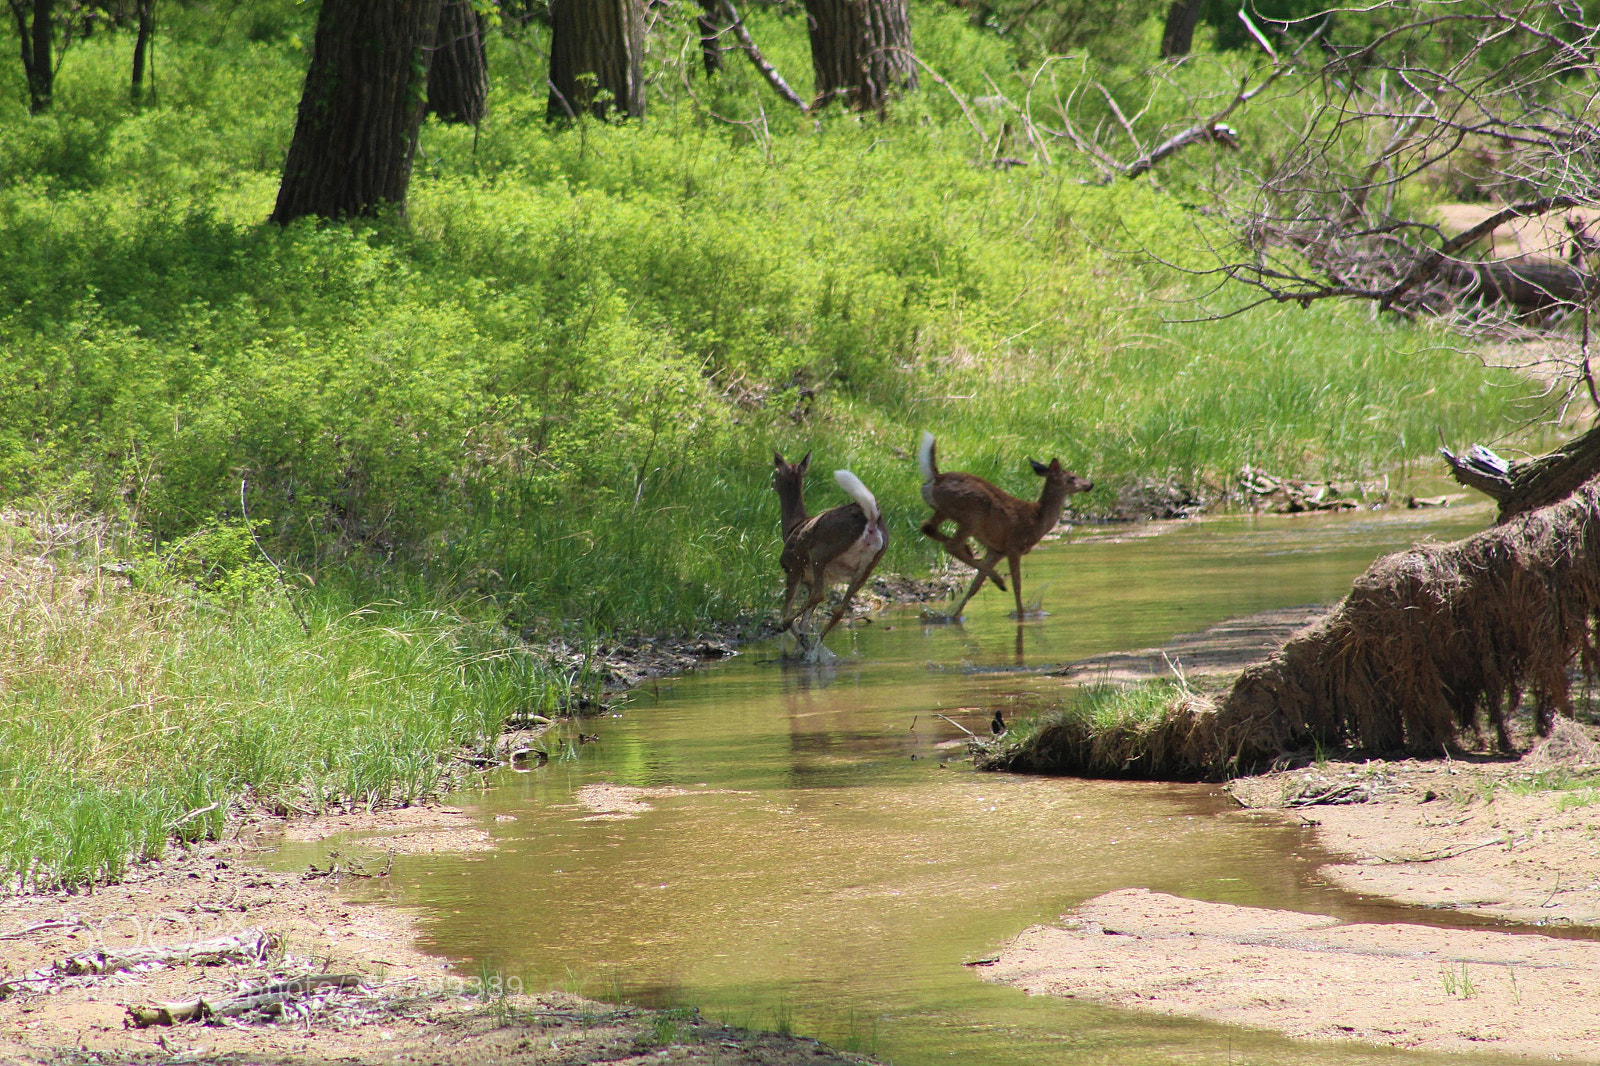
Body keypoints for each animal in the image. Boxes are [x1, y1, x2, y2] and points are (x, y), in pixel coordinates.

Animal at [772, 452, 889, 646]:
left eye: (776, 472)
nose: (771, 483)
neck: (792, 527)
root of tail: (872, 519)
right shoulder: (810, 579)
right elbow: (805, 621)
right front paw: (802, 641)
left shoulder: (792, 565)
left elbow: (789, 607)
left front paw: (794, 633)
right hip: (867, 567)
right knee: (839, 609)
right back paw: (816, 644)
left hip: (822, 551)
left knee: (820, 595)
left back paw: (787, 625)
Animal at [917, 431, 1093, 620]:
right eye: (1072, 477)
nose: (1090, 484)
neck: (1038, 519)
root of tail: (937, 478)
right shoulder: (1013, 546)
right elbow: (1017, 585)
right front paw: (1021, 615)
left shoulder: (996, 550)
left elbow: (975, 585)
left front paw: (955, 615)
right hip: (973, 514)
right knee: (951, 544)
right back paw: (998, 579)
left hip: (944, 511)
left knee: (927, 528)